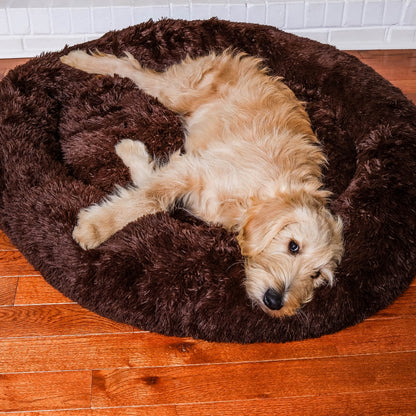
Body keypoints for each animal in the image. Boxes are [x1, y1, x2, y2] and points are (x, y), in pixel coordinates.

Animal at [60, 48, 342, 316]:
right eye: (293, 246)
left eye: (316, 275)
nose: (274, 302)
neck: (255, 199)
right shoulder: (193, 169)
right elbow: (150, 198)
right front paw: (95, 228)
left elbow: (149, 183)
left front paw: (132, 152)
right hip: (175, 93)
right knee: (131, 67)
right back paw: (77, 59)